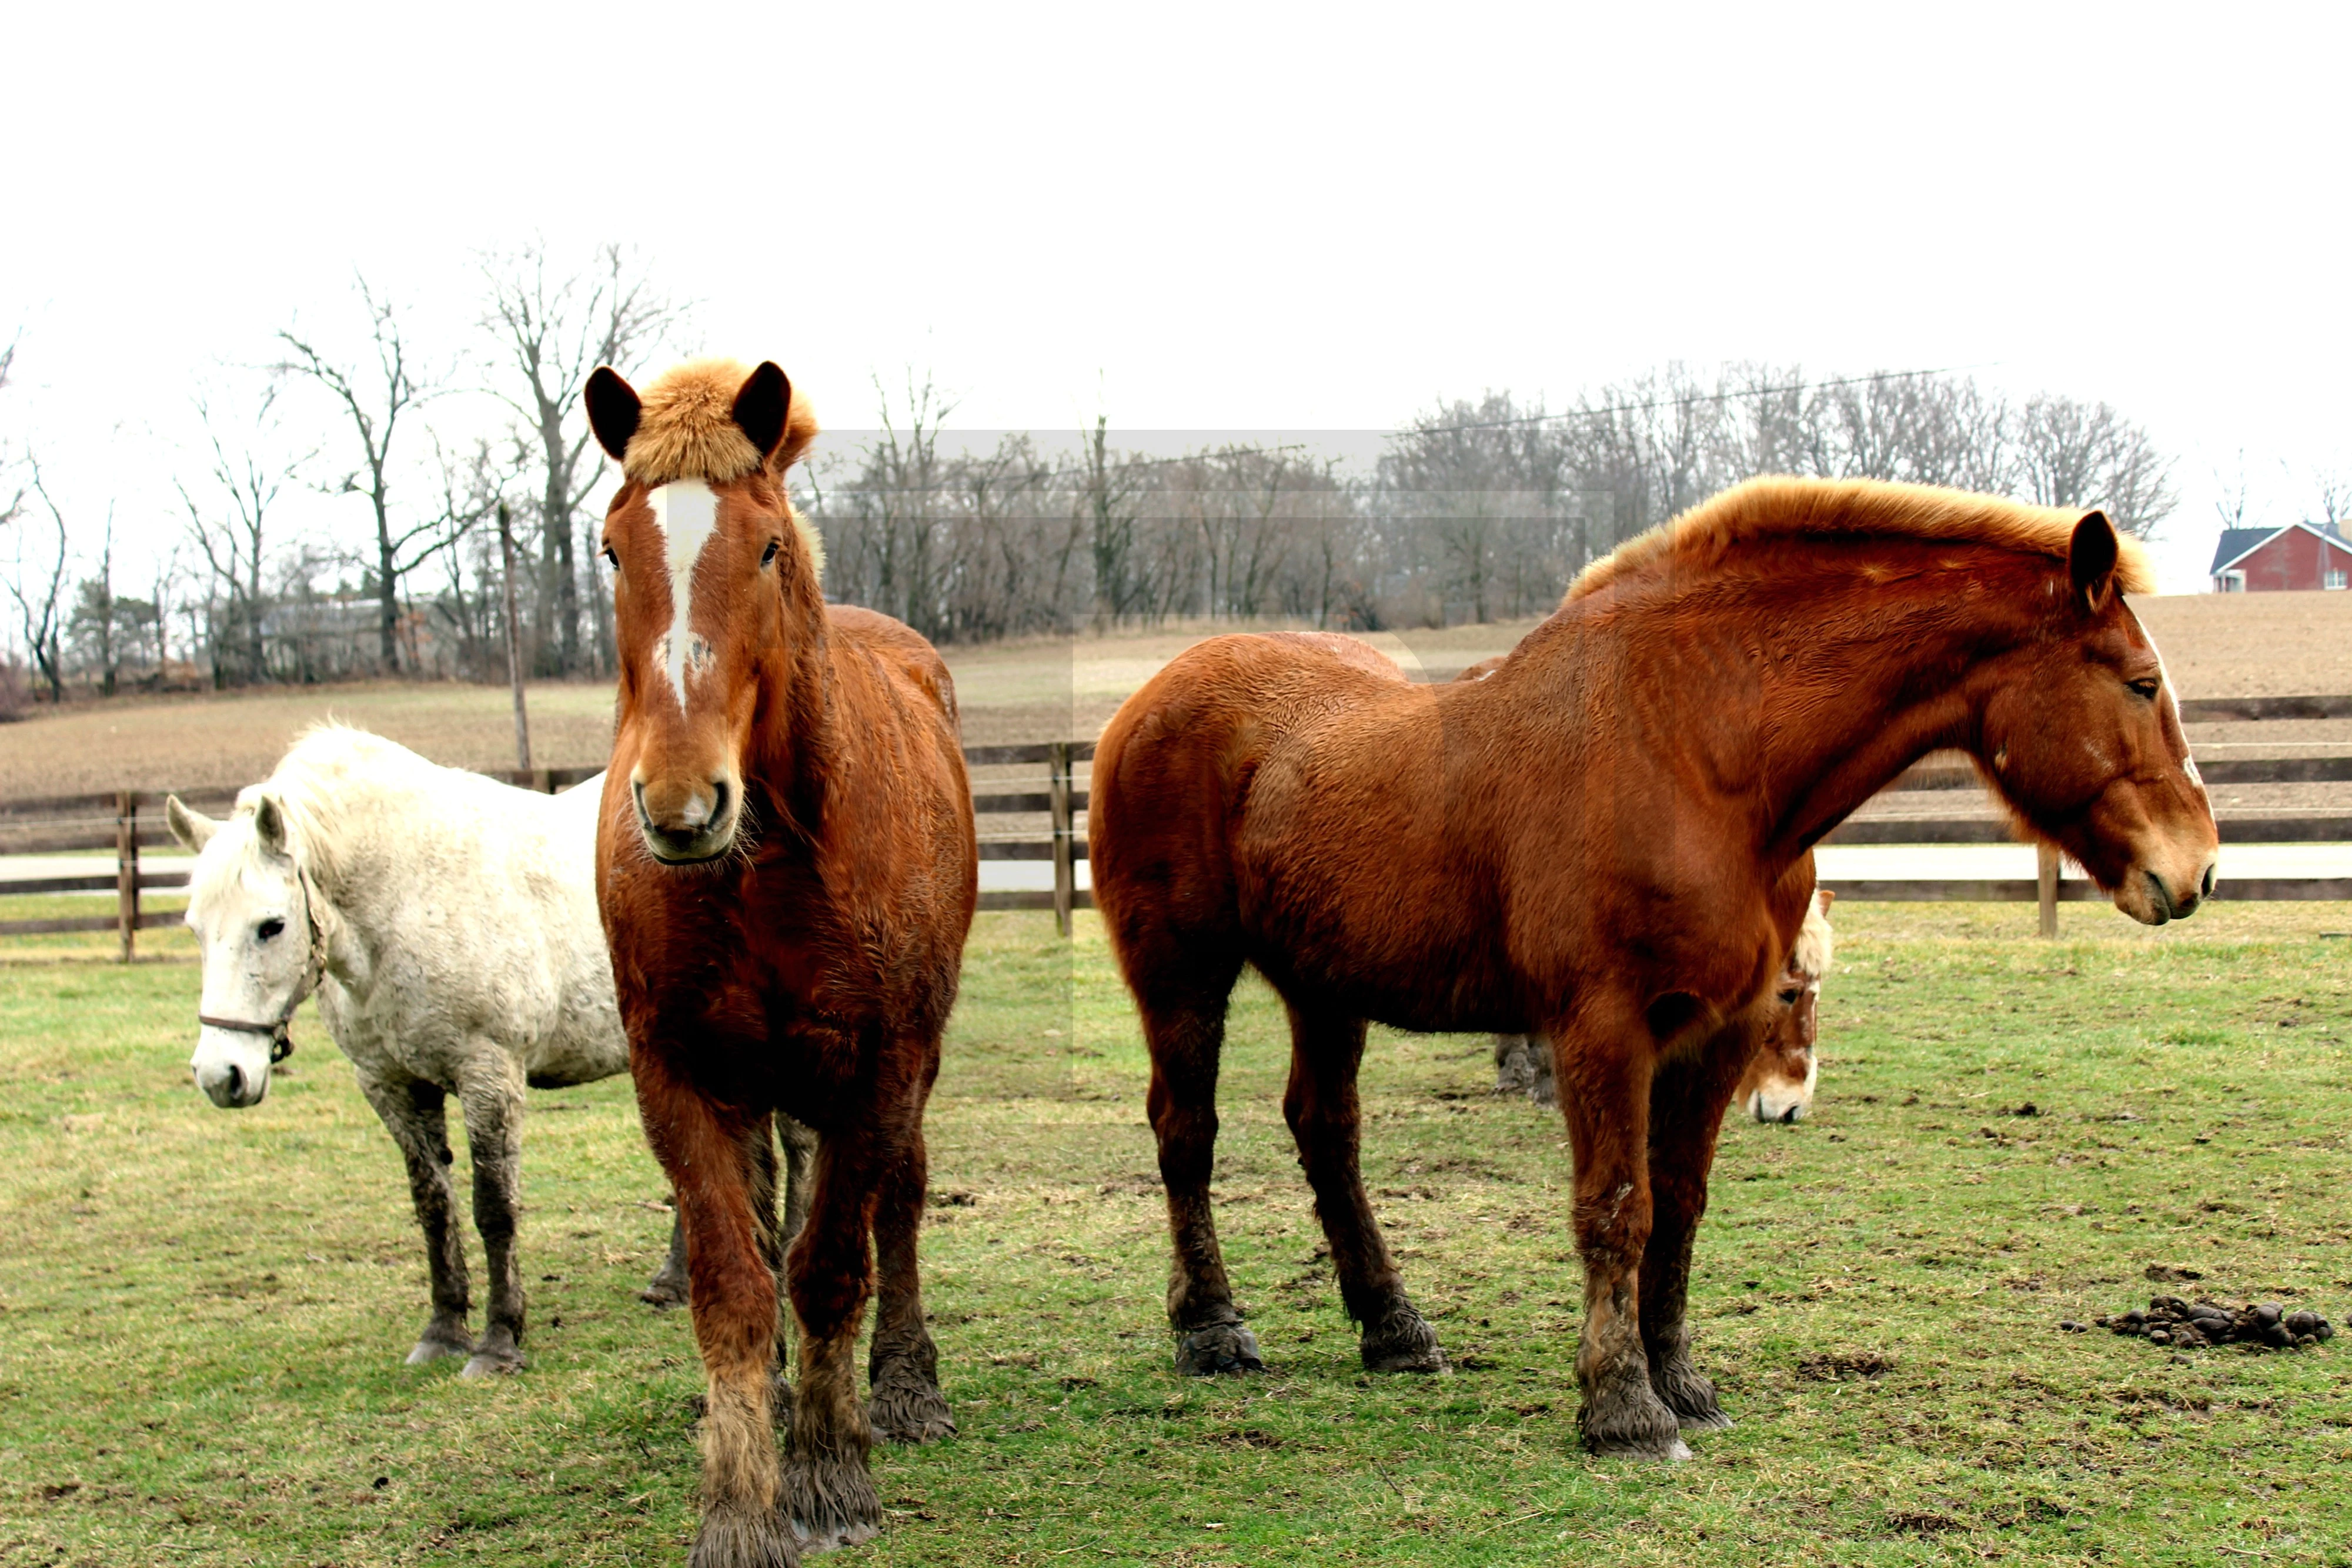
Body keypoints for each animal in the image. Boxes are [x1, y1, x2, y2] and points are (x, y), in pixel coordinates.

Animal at [171, 724, 814, 1373]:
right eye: (195, 928)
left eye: (271, 925)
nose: (220, 1074)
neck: (406, 894)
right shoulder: (391, 1085)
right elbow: (434, 1207)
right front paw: (442, 1330)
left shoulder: (488, 1073)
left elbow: (493, 1207)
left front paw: (499, 1340)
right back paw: (676, 1280)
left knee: (799, 1142)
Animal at [588, 362, 974, 1561]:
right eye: (612, 548)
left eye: (765, 547)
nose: (681, 801)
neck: (767, 861)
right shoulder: (677, 1071)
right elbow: (734, 1279)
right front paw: (740, 1498)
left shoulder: (881, 1064)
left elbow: (832, 1260)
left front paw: (830, 1470)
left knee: (895, 1200)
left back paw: (900, 1382)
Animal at [1091, 479, 2211, 1457]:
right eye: (2141, 683)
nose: (2194, 866)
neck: (1700, 752)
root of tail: (1147, 701)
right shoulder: (1604, 1028)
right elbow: (1616, 1208)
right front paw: (1623, 1407)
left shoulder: (1715, 1032)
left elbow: (1679, 1204)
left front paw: (1683, 1384)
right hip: (1182, 975)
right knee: (1187, 1131)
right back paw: (1212, 1327)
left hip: (1327, 988)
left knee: (1327, 1133)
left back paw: (1393, 1326)